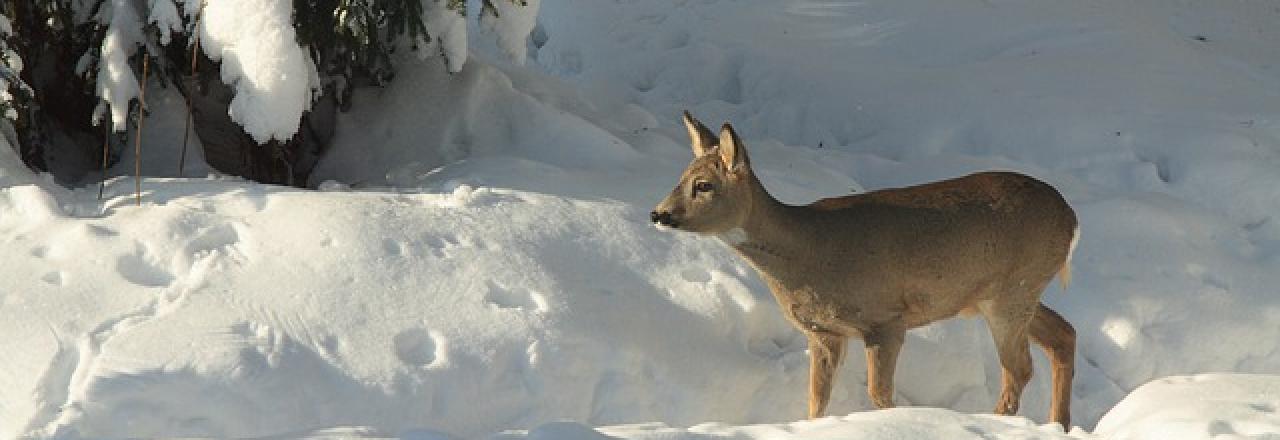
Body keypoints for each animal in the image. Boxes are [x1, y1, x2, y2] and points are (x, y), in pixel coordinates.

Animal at [650, 111, 1080, 427]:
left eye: (704, 185)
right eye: (680, 177)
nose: (658, 214)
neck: (806, 250)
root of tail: (1071, 216)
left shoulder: (885, 319)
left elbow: (880, 395)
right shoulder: (824, 332)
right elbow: (816, 400)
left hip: (1012, 291)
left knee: (1020, 368)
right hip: (1012, 291)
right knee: (1063, 335)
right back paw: (1057, 424)